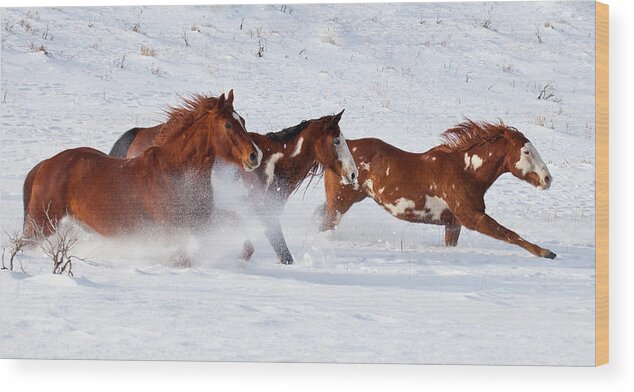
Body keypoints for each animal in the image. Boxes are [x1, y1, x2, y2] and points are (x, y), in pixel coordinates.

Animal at [22, 89, 260, 242]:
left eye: (243, 121)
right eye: (228, 125)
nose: (254, 155)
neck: (175, 173)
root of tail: (45, 164)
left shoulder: (204, 221)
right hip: (41, 224)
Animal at [107, 96, 358, 264]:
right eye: (337, 140)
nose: (353, 173)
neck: (271, 164)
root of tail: (139, 134)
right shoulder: (264, 214)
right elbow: (282, 252)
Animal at [316, 120, 552, 260]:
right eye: (526, 151)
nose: (547, 179)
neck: (465, 171)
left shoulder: (454, 224)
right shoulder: (472, 217)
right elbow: (509, 233)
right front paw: (546, 252)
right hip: (340, 202)